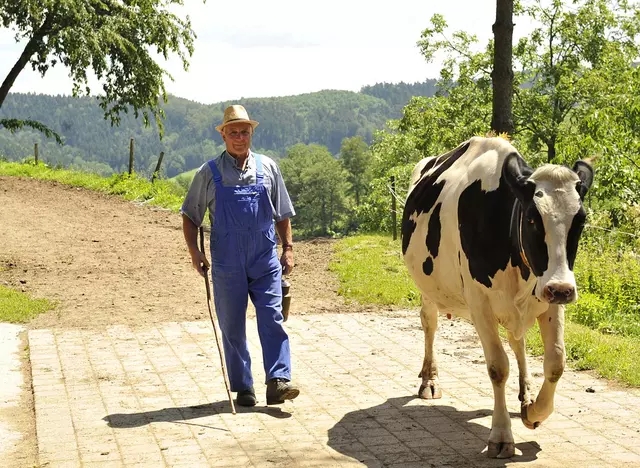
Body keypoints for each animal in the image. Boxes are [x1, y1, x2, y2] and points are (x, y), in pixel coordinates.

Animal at [402, 135, 592, 458]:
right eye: (532, 219)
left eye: (580, 220)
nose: (562, 289)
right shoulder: (480, 303)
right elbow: (497, 367)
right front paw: (501, 436)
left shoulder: (548, 298)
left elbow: (556, 361)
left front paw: (534, 412)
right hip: (427, 287)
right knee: (429, 323)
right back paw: (429, 379)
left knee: (518, 341)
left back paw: (526, 390)